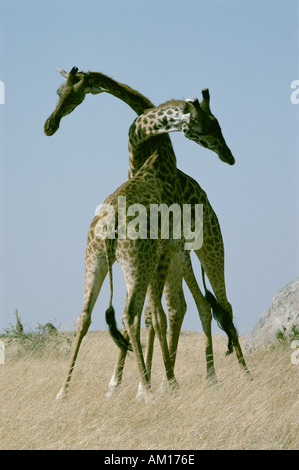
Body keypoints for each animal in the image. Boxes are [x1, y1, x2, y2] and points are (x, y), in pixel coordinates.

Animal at [44, 67, 251, 396]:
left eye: (71, 91)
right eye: (59, 91)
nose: (49, 125)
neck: (151, 152)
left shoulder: (163, 252)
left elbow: (156, 316)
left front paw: (146, 382)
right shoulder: (163, 251)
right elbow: (155, 315)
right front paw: (136, 383)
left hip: (200, 249)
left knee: (211, 305)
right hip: (157, 258)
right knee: (176, 308)